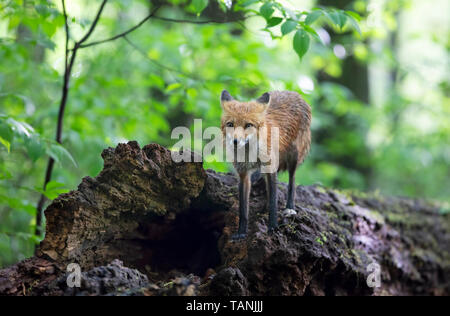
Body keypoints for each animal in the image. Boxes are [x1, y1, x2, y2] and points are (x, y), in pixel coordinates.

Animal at [220, 90, 312, 241]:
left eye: (248, 125)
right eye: (230, 124)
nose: (235, 141)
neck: (250, 155)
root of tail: (294, 93)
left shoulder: (270, 168)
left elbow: (274, 201)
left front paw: (273, 227)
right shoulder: (243, 175)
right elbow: (243, 210)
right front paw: (241, 232)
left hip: (294, 155)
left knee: (292, 180)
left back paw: (289, 207)